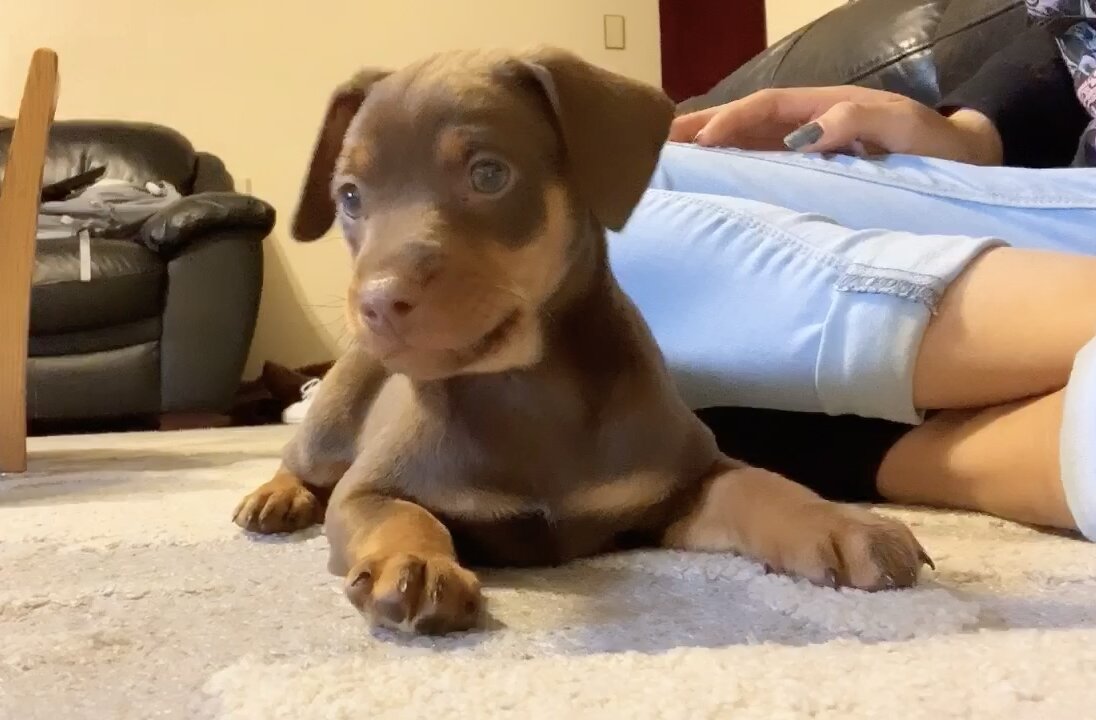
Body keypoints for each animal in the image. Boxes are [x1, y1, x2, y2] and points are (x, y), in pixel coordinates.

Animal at [233, 46, 933, 635]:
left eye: (489, 175)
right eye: (350, 198)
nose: (376, 303)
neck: (526, 388)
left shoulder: (684, 482)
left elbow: (764, 484)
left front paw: (843, 523)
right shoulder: (369, 488)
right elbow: (402, 513)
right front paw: (414, 564)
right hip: (335, 417)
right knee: (303, 460)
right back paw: (275, 496)